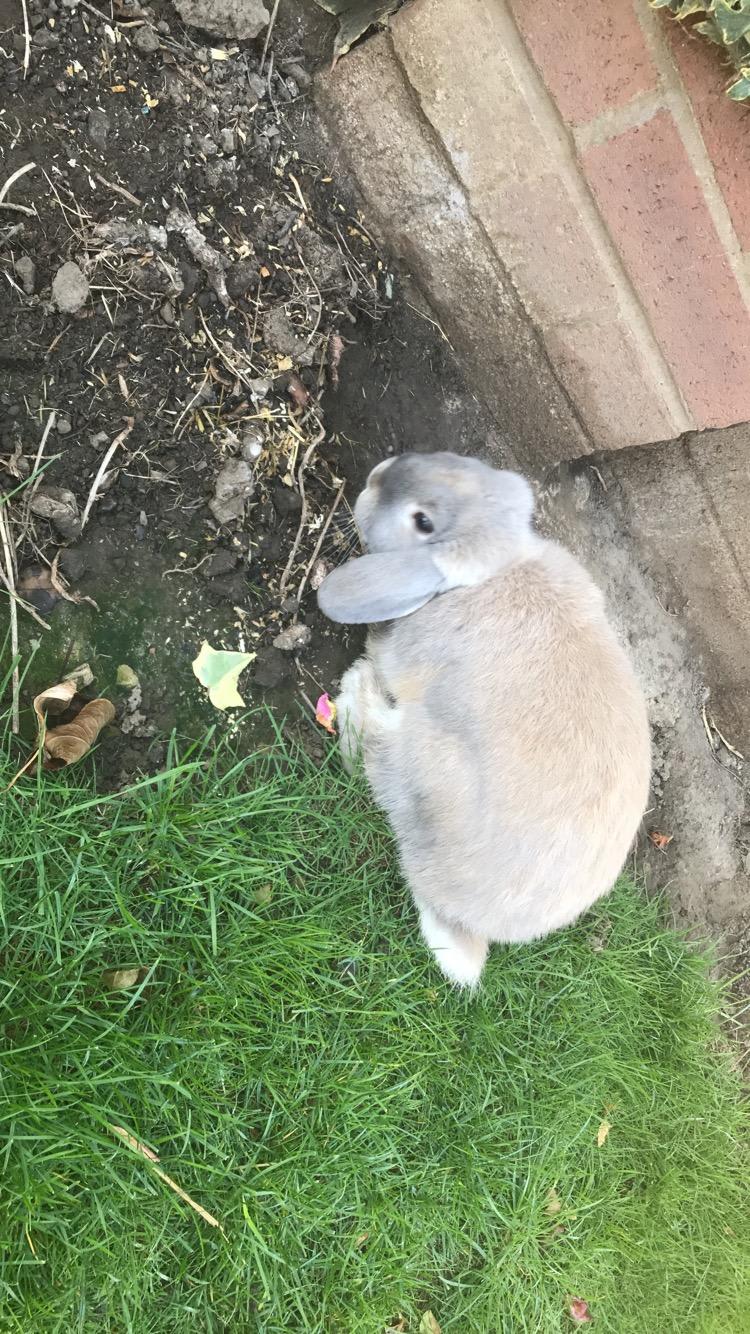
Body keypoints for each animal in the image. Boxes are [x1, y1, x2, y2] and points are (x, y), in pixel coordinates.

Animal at [317, 452, 651, 989]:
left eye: (423, 522)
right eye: (455, 463)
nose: (376, 475)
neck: (495, 572)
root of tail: (471, 920)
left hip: (423, 761)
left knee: (371, 754)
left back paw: (355, 688)